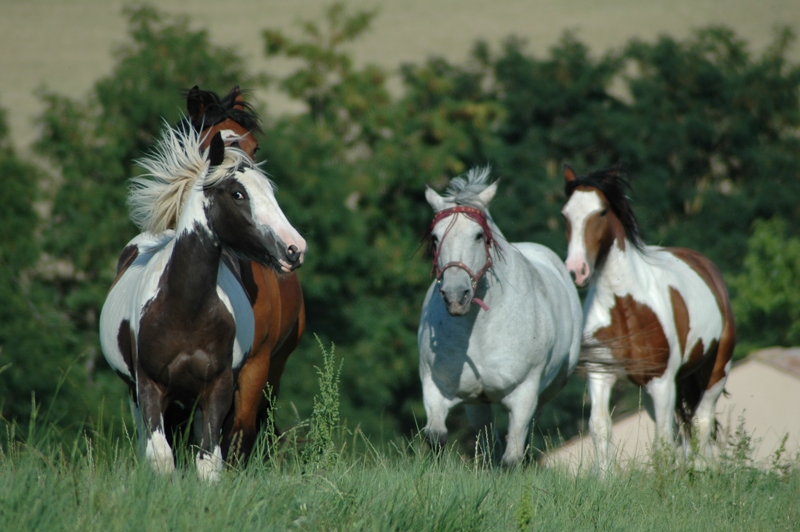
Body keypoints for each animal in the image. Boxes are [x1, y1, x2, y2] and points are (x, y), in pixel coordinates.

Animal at [100, 125, 306, 482]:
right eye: (238, 194)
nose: (295, 248)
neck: (185, 311)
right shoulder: (150, 386)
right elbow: (161, 457)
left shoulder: (217, 389)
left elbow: (209, 461)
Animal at [418, 167, 580, 466]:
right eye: (434, 237)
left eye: (478, 235)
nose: (456, 295)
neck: (480, 330)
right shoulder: (437, 388)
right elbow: (436, 436)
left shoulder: (524, 395)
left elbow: (512, 456)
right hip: (477, 403)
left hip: (546, 391)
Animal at [564, 164, 736, 472]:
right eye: (566, 214)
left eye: (602, 212)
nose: (576, 270)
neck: (627, 310)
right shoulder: (601, 375)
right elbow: (600, 427)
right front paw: (604, 477)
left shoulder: (663, 381)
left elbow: (663, 440)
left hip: (717, 371)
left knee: (701, 421)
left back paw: (703, 470)